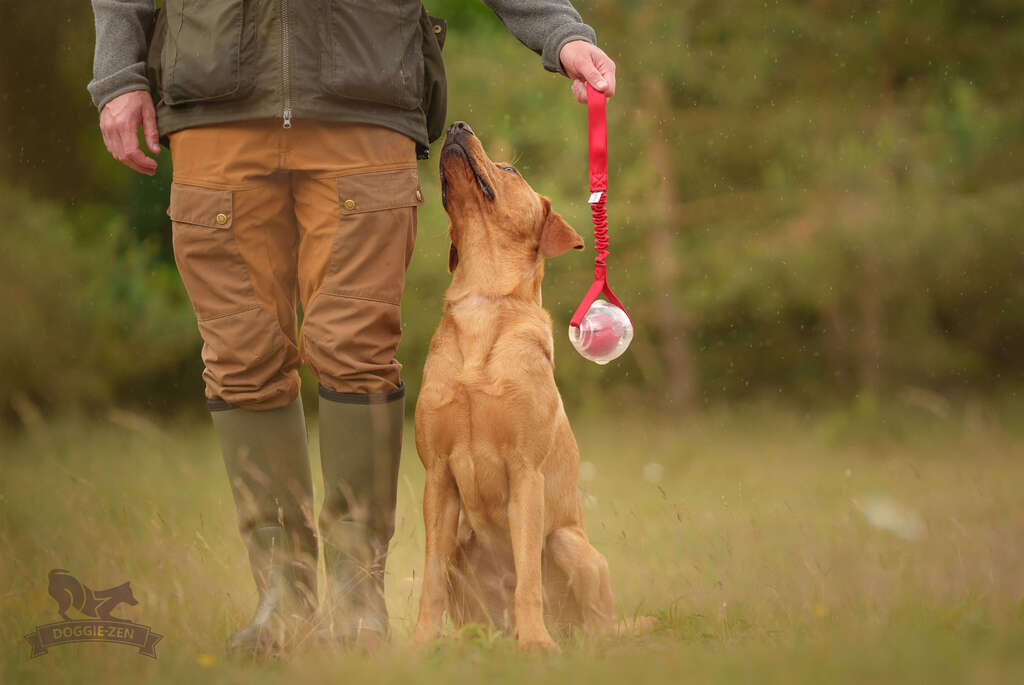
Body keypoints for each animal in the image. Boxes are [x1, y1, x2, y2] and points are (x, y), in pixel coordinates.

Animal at [411, 122, 610, 651]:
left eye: (510, 169)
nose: (456, 126)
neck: (482, 299)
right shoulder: (438, 476)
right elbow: (431, 576)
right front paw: (421, 643)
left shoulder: (526, 472)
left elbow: (528, 578)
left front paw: (536, 644)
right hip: (465, 546)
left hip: (573, 545)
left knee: (594, 621)